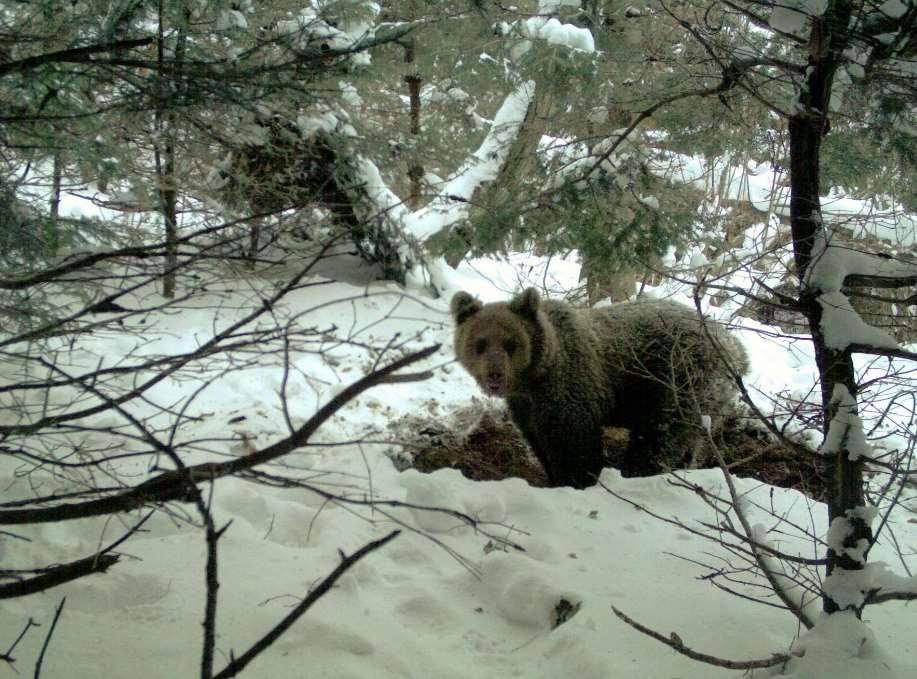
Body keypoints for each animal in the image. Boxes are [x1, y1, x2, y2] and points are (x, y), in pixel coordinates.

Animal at [450, 286, 744, 488]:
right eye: (479, 343)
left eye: (511, 343)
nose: (495, 374)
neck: (534, 378)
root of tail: (736, 348)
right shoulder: (526, 406)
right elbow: (539, 441)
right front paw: (553, 475)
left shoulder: (569, 387)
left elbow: (574, 442)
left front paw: (577, 479)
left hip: (680, 377)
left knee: (661, 433)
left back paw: (640, 471)